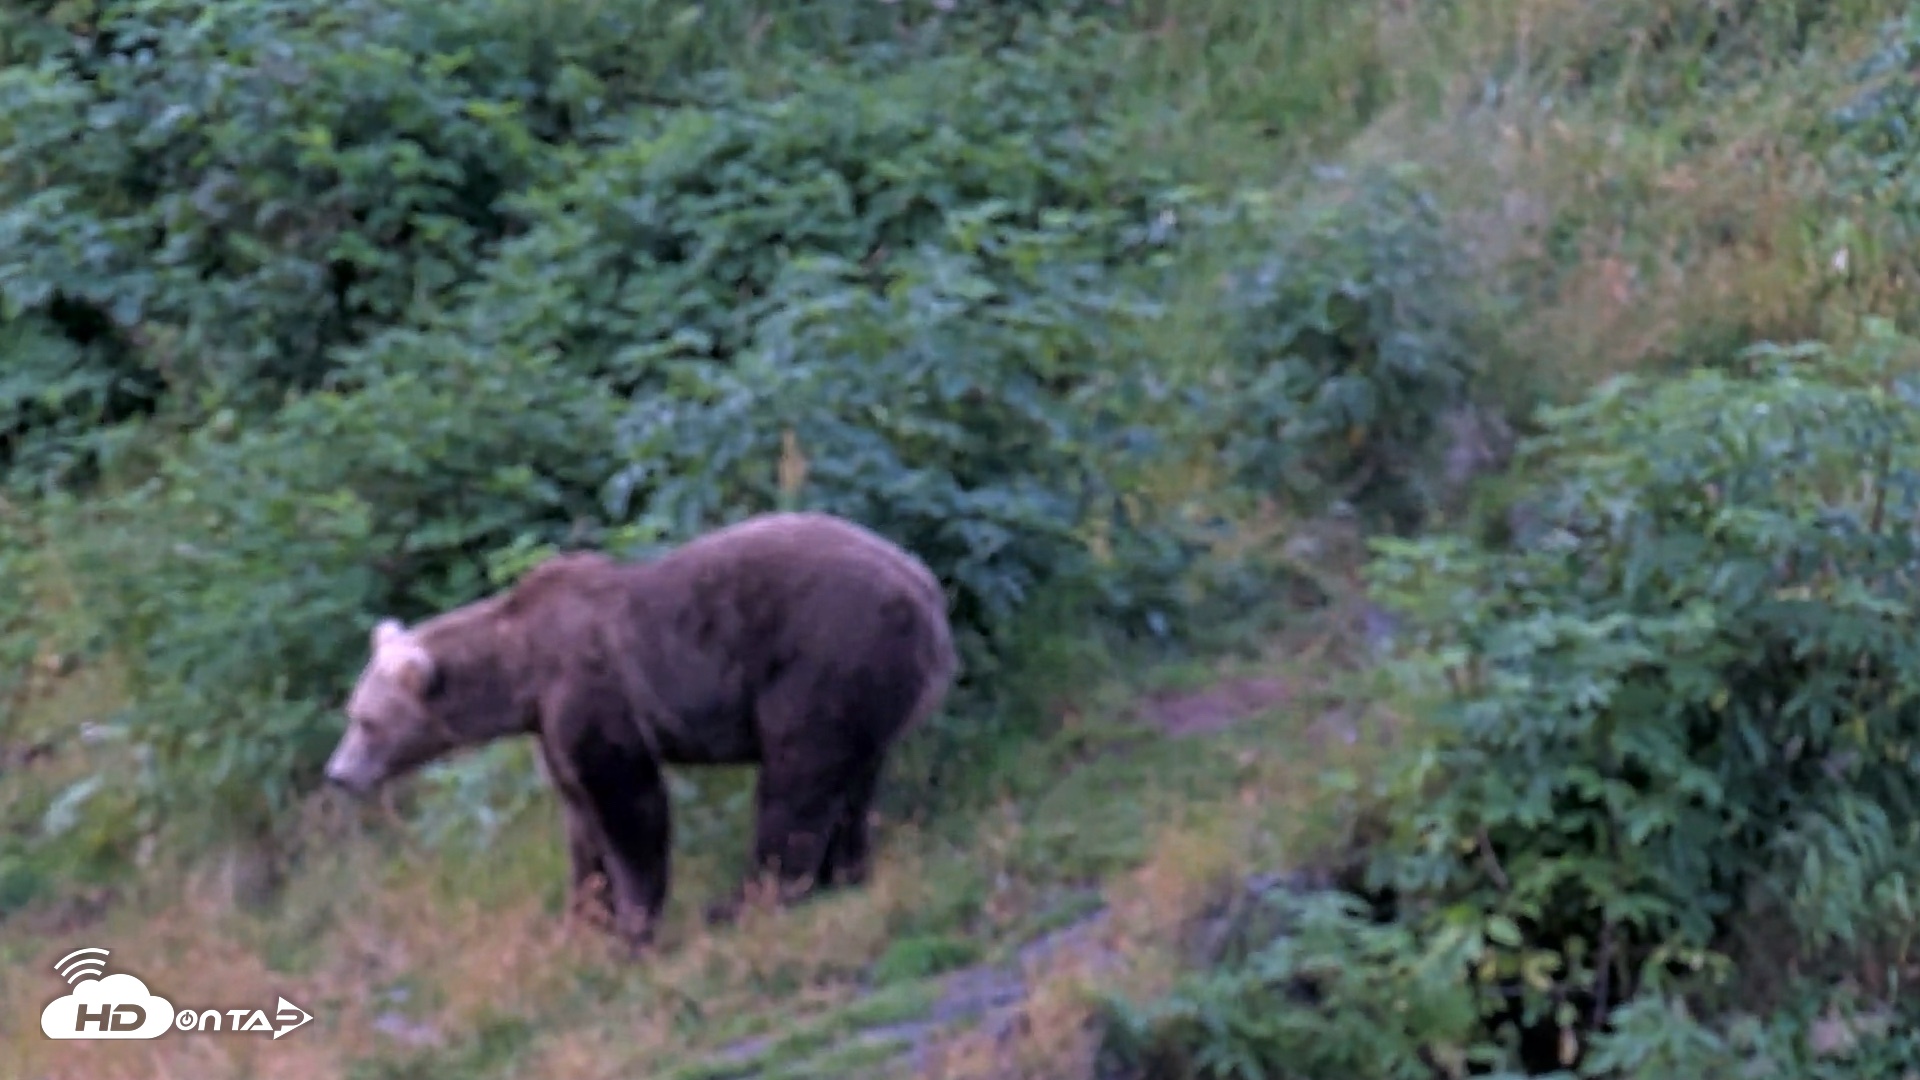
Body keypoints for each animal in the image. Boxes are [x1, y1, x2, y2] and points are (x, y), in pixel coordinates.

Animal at [321, 510, 959, 951]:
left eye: (366, 721)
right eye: (352, 712)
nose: (338, 774)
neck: (522, 667)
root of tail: (929, 594)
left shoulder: (592, 691)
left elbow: (627, 804)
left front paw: (631, 929)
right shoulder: (551, 724)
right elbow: (579, 818)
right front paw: (578, 922)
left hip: (821, 660)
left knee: (797, 779)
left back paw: (743, 901)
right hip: (868, 682)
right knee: (854, 779)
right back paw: (846, 874)